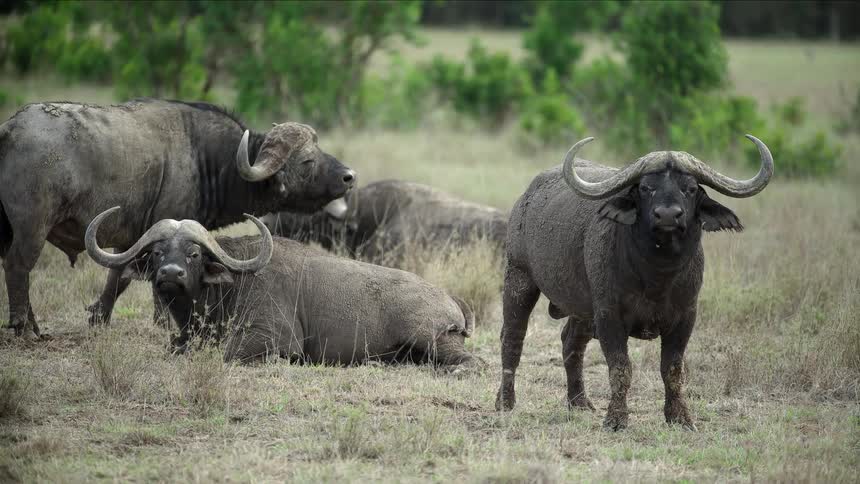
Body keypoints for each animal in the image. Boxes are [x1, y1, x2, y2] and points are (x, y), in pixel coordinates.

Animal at [0, 99, 355, 337]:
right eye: (308, 160)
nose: (349, 176)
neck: (208, 158)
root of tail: (9, 130)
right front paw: (163, 322)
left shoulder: (131, 239)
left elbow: (119, 276)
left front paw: (99, 316)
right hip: (32, 229)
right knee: (18, 266)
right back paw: (24, 329)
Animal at [85, 207, 481, 368]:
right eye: (156, 252)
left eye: (194, 254)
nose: (170, 273)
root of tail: (450, 298)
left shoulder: (274, 338)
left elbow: (228, 352)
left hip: (429, 337)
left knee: (470, 362)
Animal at [495, 135, 773, 431]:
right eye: (646, 187)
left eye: (689, 188)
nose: (667, 216)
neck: (657, 276)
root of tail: (525, 200)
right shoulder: (609, 316)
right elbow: (620, 368)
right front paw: (616, 419)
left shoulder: (686, 318)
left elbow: (672, 370)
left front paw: (680, 417)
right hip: (519, 278)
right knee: (512, 337)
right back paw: (505, 401)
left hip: (582, 308)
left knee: (571, 342)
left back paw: (579, 402)